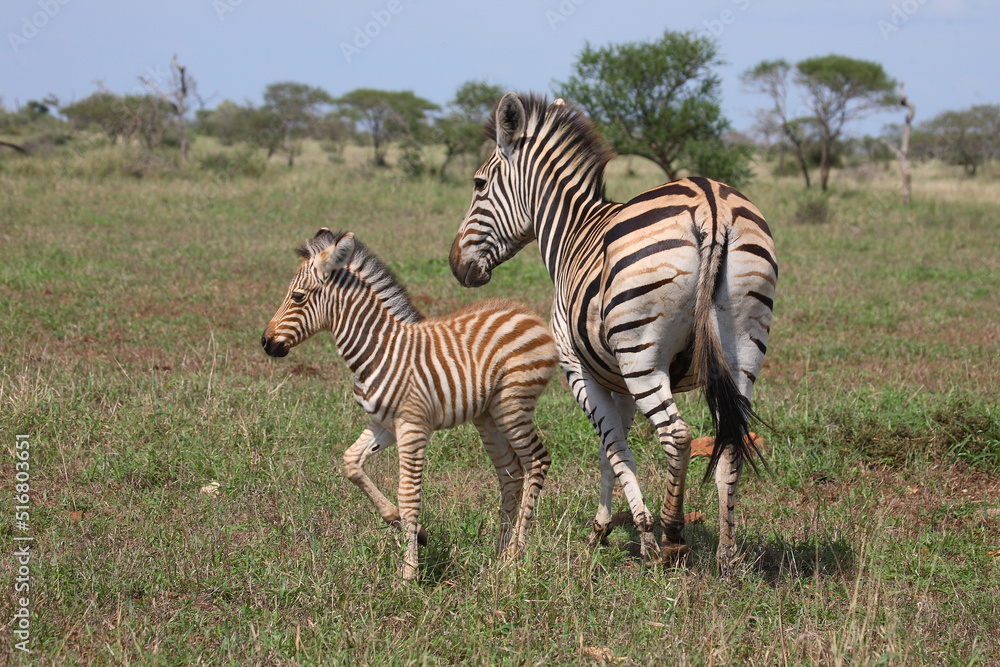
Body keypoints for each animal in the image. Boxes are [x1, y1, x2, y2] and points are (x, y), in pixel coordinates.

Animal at [262, 229, 558, 582]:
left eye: (297, 297)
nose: (265, 343)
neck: (379, 349)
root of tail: (527, 313)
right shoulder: (383, 425)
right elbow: (351, 463)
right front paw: (408, 528)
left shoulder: (412, 426)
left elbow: (409, 496)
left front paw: (408, 573)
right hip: (487, 415)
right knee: (511, 473)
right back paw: (498, 557)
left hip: (513, 405)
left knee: (537, 461)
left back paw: (515, 556)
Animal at [449, 93, 777, 574]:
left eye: (478, 184)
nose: (456, 265)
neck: (571, 231)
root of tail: (710, 204)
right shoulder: (615, 379)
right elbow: (613, 448)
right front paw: (608, 529)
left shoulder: (581, 369)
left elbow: (615, 448)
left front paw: (633, 534)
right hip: (743, 349)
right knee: (731, 440)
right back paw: (728, 554)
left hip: (642, 355)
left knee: (677, 435)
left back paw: (673, 535)